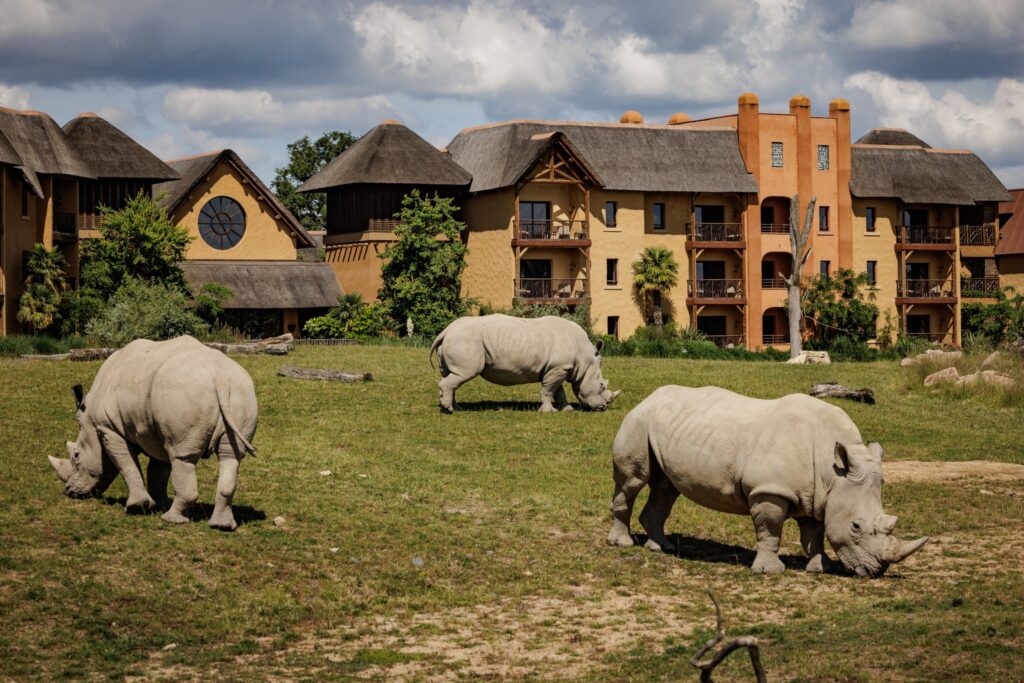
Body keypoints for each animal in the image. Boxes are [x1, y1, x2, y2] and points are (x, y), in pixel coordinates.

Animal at [48, 335, 258, 531]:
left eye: (76, 456)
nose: (70, 491)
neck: (89, 416)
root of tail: (220, 378)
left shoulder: (109, 428)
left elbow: (126, 464)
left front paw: (137, 507)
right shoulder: (158, 432)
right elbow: (158, 471)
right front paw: (159, 505)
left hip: (182, 394)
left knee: (183, 457)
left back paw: (171, 520)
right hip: (241, 393)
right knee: (231, 456)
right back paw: (221, 526)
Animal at [430, 314, 620, 413]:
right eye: (601, 386)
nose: (602, 407)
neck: (584, 358)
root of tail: (446, 331)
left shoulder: (557, 368)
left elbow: (559, 391)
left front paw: (567, 409)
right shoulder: (558, 368)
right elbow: (549, 390)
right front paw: (548, 411)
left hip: (457, 339)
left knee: (451, 375)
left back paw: (454, 407)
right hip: (465, 340)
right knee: (464, 373)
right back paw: (449, 409)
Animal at [607, 385, 928, 577]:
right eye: (856, 527)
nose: (875, 571)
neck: (832, 470)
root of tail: (648, 398)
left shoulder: (818, 495)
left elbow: (814, 533)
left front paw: (819, 568)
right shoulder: (769, 491)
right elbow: (770, 530)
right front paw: (769, 572)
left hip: (665, 427)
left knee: (666, 488)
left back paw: (662, 548)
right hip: (638, 422)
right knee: (633, 482)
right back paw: (622, 544)